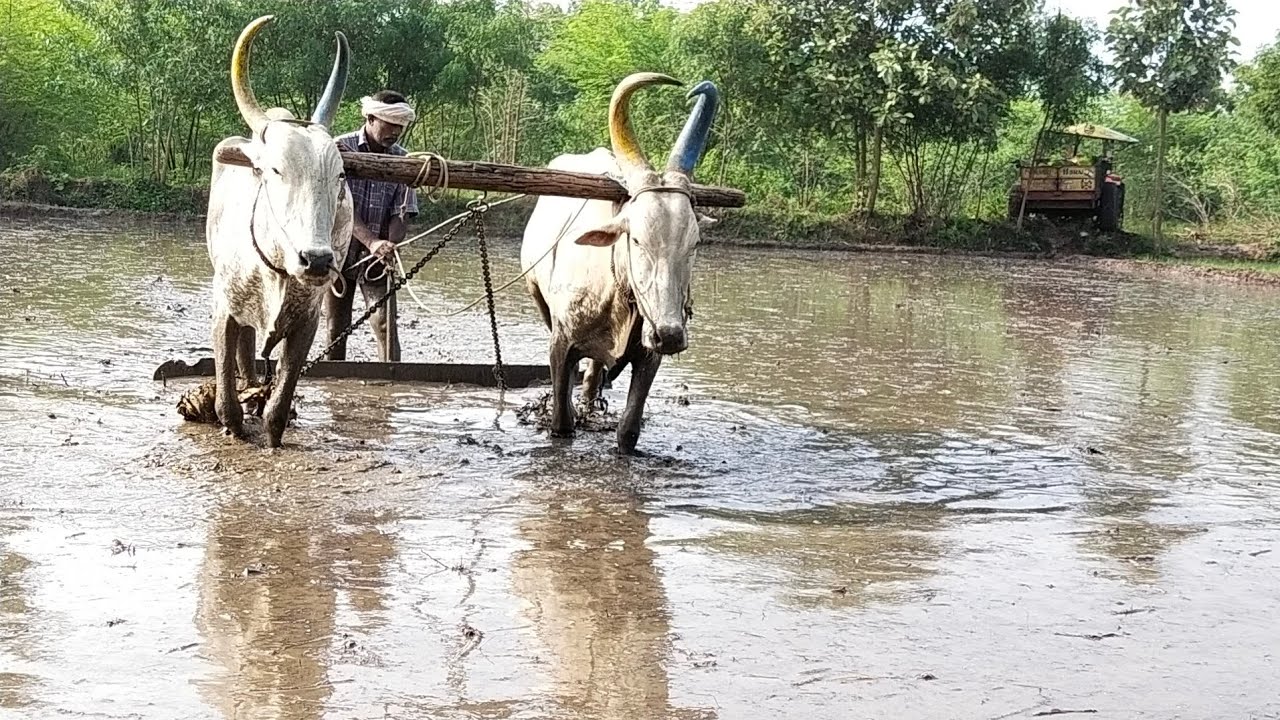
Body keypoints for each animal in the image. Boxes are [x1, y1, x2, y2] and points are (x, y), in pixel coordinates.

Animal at [205, 15, 355, 448]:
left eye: (340, 175)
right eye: (274, 169)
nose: (317, 260)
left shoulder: (308, 319)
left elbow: (280, 402)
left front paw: (271, 435)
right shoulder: (223, 307)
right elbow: (227, 393)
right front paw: (232, 425)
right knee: (246, 353)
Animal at [520, 73, 720, 454]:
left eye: (694, 243)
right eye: (637, 238)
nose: (670, 334)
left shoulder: (650, 355)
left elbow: (628, 431)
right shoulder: (560, 343)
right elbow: (561, 423)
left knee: (594, 372)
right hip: (537, 296)